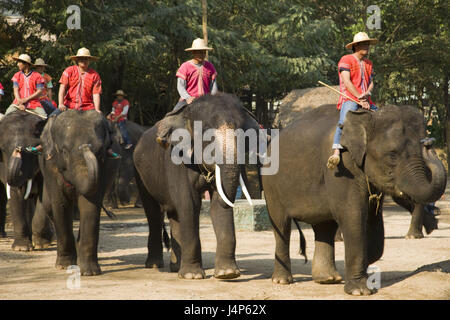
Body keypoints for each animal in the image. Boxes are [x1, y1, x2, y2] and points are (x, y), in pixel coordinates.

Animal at [0, 111, 53, 249]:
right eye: (2, 149)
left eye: (33, 148)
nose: (18, 149)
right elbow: (15, 193)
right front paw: (21, 248)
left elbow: (45, 193)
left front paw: (40, 244)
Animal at [37, 110, 121, 276]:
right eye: (64, 151)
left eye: (101, 151)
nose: (86, 147)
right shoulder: (51, 167)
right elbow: (60, 205)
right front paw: (64, 266)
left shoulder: (102, 168)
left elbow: (90, 205)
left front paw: (90, 272)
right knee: (49, 206)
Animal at [134, 93, 260, 280]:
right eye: (207, 135)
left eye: (243, 134)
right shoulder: (178, 162)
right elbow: (189, 205)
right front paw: (192, 276)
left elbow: (217, 206)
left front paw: (227, 274)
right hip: (140, 174)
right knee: (154, 214)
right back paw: (155, 265)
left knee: (174, 214)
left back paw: (176, 267)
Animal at [260, 104, 446, 296]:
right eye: (392, 155)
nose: (429, 143)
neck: (368, 118)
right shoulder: (341, 168)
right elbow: (352, 215)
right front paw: (360, 291)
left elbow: (374, 223)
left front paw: (367, 269)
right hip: (271, 184)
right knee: (281, 224)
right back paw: (282, 281)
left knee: (324, 226)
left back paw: (328, 279)